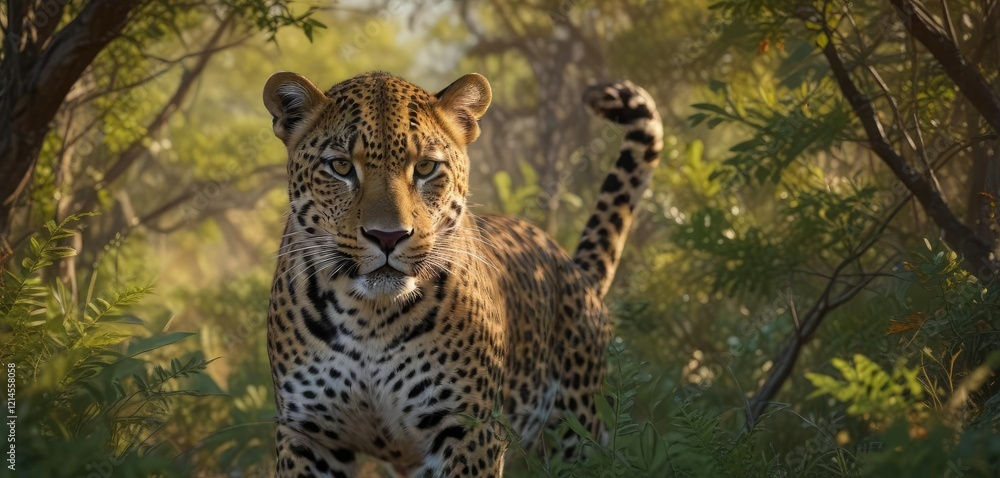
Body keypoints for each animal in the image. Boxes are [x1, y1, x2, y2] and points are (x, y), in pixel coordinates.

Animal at [263, 70, 663, 477]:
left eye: (426, 168)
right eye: (341, 167)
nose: (388, 236)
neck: (370, 318)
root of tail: (574, 268)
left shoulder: (468, 428)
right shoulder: (309, 434)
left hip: (575, 431)